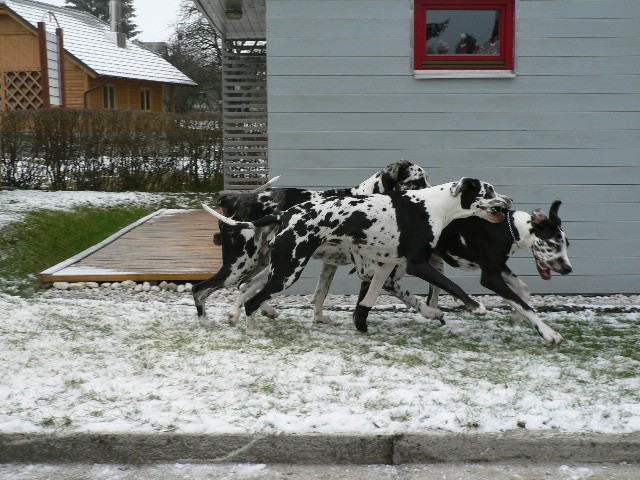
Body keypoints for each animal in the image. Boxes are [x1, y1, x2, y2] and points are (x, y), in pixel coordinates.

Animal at [428, 201, 572, 344]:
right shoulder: (491, 278)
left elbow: (524, 290)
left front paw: (515, 317)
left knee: (431, 301)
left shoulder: (500, 267)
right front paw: (548, 332)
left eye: (567, 245)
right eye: (553, 245)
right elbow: (523, 305)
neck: (509, 229)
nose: (568, 268)